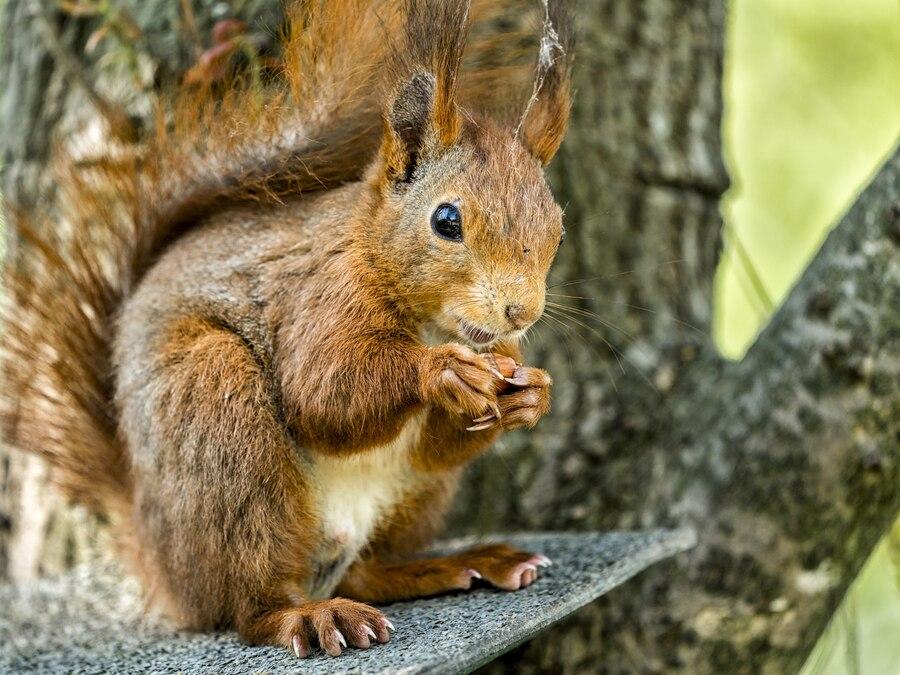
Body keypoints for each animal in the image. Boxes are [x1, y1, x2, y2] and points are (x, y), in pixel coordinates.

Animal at [1, 0, 568, 660]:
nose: (520, 313)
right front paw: (441, 371)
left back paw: (456, 563)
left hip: (413, 501)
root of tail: (165, 567)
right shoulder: (318, 298)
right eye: (446, 220)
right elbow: (321, 393)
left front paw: (533, 394)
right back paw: (306, 616)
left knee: (367, 569)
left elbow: (435, 446)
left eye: (557, 223)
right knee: (251, 604)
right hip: (220, 417)